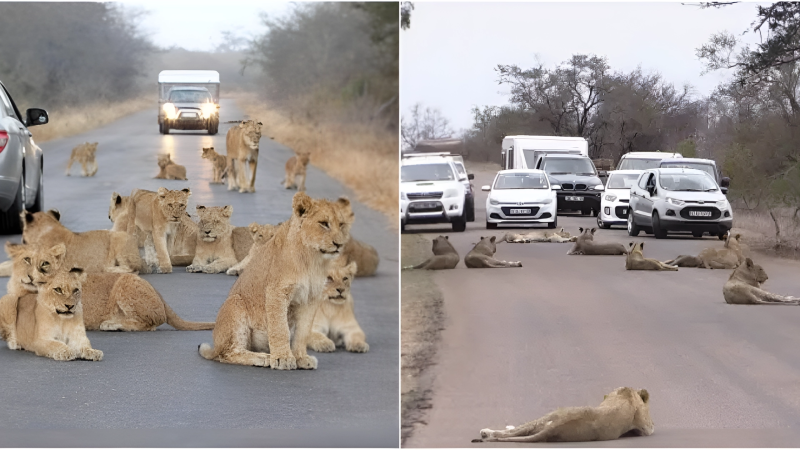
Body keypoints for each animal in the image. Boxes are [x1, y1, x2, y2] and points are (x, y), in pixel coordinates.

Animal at [199, 193, 354, 370]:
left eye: (341, 224)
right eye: (323, 223)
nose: (339, 244)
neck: (313, 259)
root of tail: (215, 347)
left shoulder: (311, 298)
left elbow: (303, 331)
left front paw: (301, 358)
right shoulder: (277, 292)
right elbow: (280, 328)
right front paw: (283, 358)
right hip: (235, 302)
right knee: (227, 353)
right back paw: (262, 357)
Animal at [472, 386, 652, 442]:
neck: (628, 395)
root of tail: (556, 427)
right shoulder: (645, 426)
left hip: (549, 416)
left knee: (514, 431)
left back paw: (486, 432)